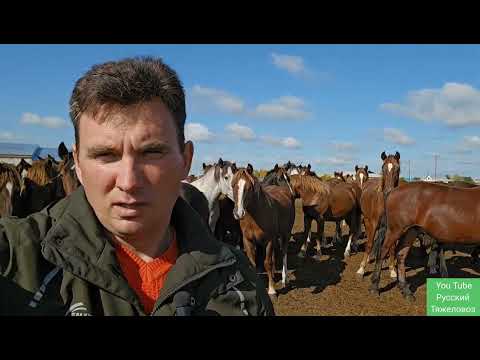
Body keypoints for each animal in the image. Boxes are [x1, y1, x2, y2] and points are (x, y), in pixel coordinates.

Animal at [231, 163, 294, 296]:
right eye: (233, 185)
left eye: (249, 187)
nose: (238, 213)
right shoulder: (248, 240)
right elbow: (253, 264)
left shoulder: (269, 240)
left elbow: (267, 263)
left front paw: (271, 290)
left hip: (286, 233)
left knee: (284, 252)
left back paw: (284, 279)